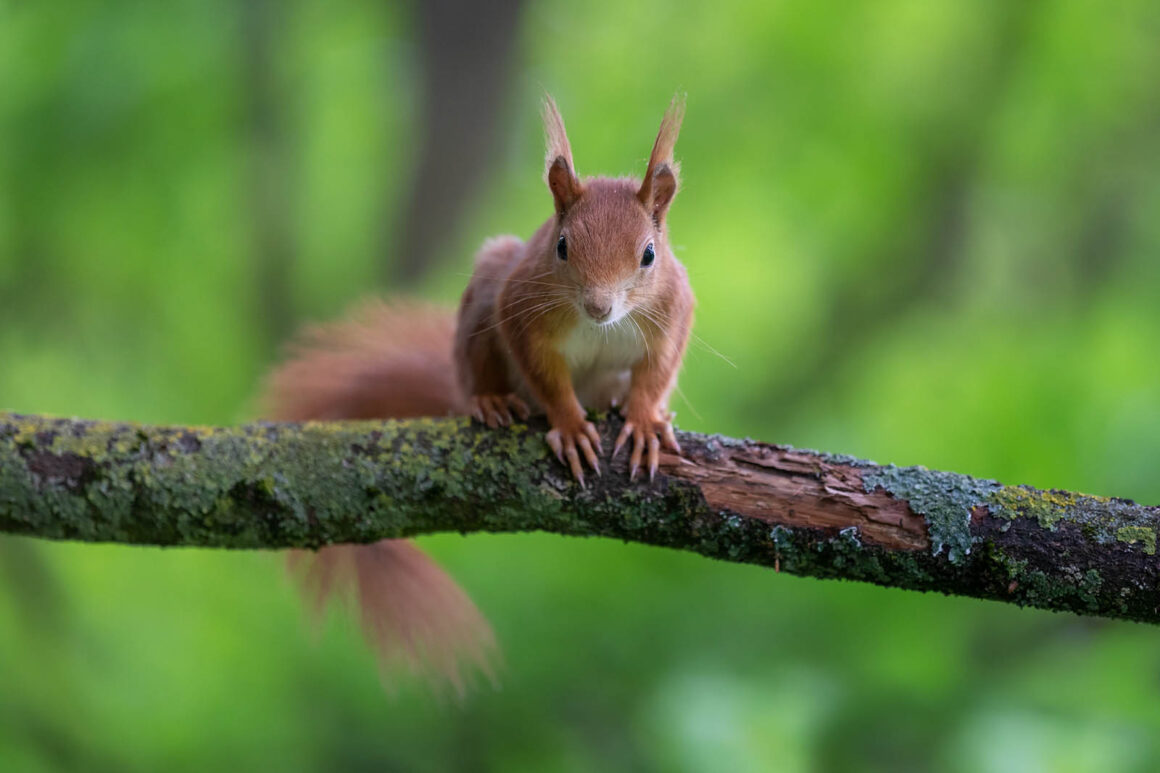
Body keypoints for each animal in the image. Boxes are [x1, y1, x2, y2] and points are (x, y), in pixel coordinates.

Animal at [263, 96, 686, 687]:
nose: (599, 307)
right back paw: (491, 402)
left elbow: (658, 370)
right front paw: (571, 427)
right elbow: (545, 375)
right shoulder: (520, 307)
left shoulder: (674, 308)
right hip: (486, 294)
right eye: (561, 246)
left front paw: (646, 418)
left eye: (649, 254)